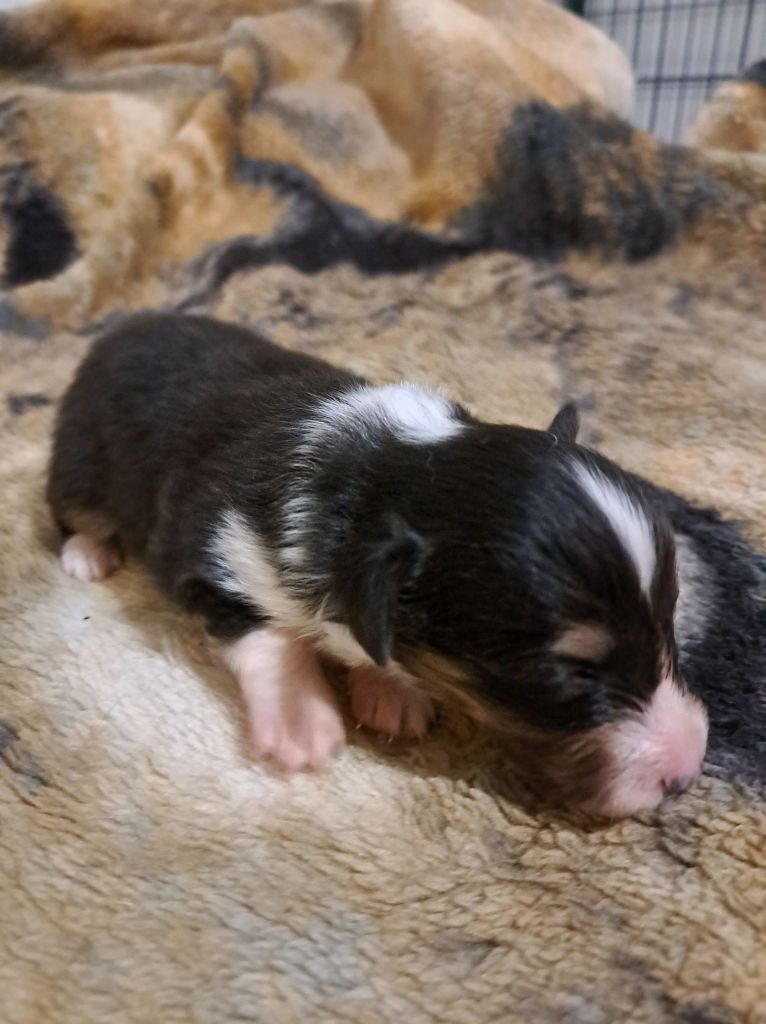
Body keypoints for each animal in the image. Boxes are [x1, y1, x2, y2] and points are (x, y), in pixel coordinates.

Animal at [46, 311, 704, 815]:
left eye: (670, 616)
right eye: (567, 674)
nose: (687, 771)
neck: (376, 466)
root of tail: (125, 327)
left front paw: (390, 690)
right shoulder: (199, 547)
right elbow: (270, 633)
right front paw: (300, 720)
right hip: (80, 459)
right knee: (73, 513)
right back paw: (88, 555)